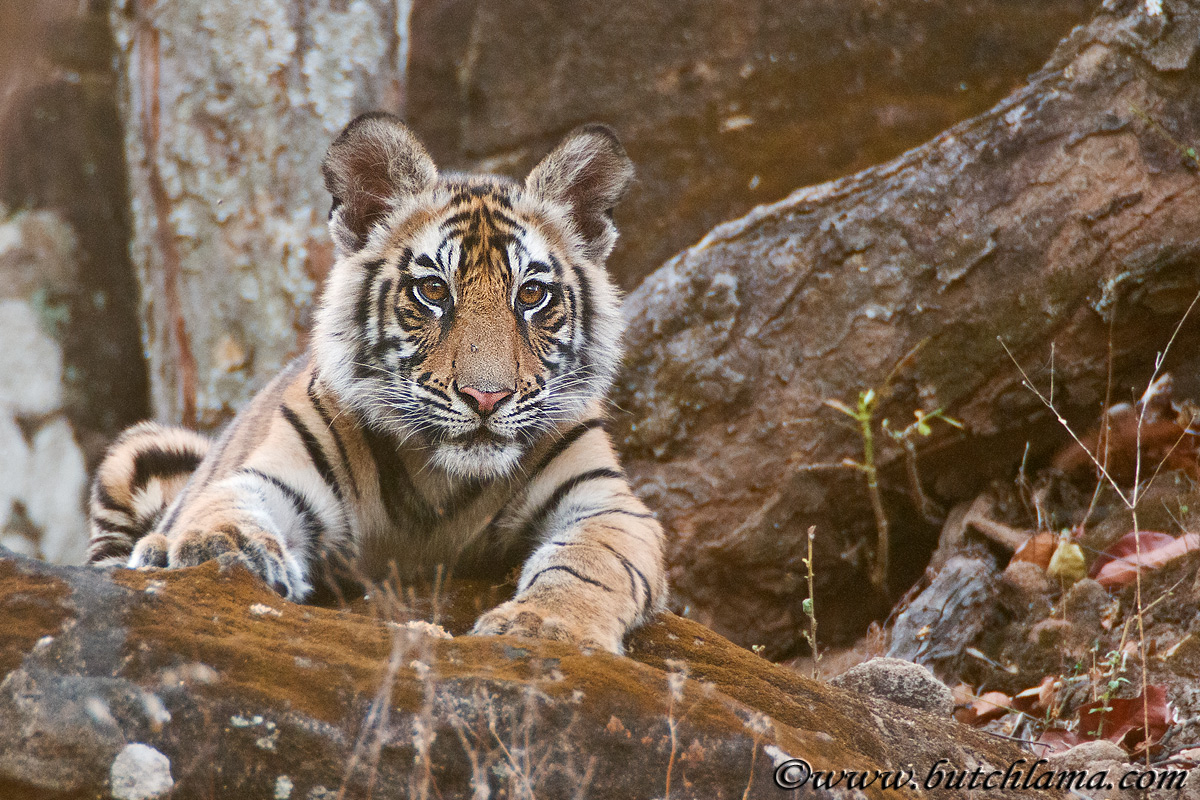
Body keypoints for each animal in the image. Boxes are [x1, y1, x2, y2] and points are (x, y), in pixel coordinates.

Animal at [86, 113, 666, 654]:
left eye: (530, 295)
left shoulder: (604, 501)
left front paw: (544, 627)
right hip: (147, 448)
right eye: (434, 290)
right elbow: (224, 508)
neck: (444, 481)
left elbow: (589, 563)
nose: (486, 397)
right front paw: (217, 547)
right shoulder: (273, 475)